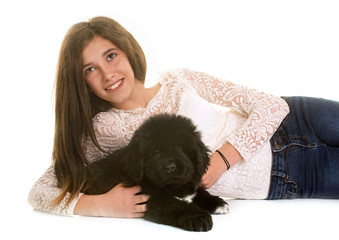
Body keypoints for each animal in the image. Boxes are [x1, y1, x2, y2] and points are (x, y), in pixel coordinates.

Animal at [83, 113, 230, 232]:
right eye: (155, 152)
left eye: (179, 148)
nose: (170, 167)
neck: (173, 187)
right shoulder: (153, 200)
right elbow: (177, 205)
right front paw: (199, 217)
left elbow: (200, 191)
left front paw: (217, 203)